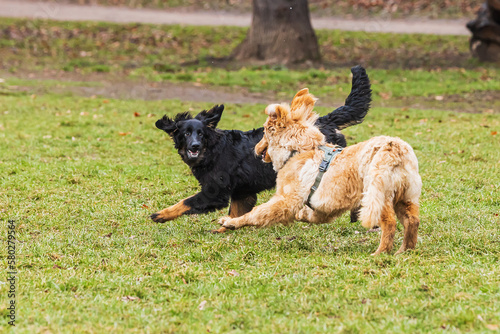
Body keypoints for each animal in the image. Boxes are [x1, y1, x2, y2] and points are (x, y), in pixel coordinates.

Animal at [152, 66, 372, 231]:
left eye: (200, 134)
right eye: (186, 134)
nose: (195, 145)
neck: (213, 151)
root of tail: (326, 120)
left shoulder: (215, 193)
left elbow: (186, 202)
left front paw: (162, 214)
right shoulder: (242, 192)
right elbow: (236, 213)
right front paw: (226, 228)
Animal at [219, 88, 422, 256]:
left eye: (264, 133)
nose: (254, 148)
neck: (299, 150)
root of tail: (395, 149)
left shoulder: (286, 200)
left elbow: (256, 214)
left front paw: (230, 222)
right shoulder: (324, 209)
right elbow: (309, 214)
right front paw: (301, 215)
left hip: (378, 196)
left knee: (390, 223)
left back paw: (381, 253)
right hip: (405, 198)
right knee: (412, 221)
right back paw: (404, 251)